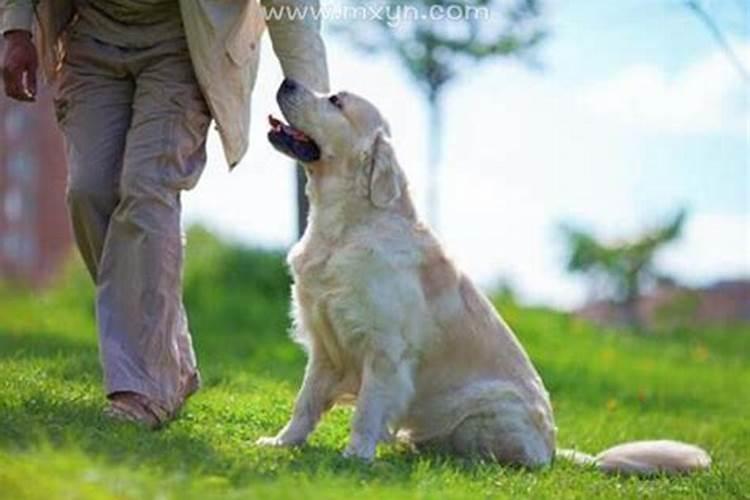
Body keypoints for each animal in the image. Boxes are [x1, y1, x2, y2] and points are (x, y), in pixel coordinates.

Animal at [258, 79, 712, 476]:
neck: (343, 230)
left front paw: (355, 456)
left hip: (485, 406)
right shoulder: (324, 343)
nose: (286, 81)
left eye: (335, 100)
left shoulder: (385, 350)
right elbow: (305, 401)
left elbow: (368, 410)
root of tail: (553, 451)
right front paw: (281, 442)